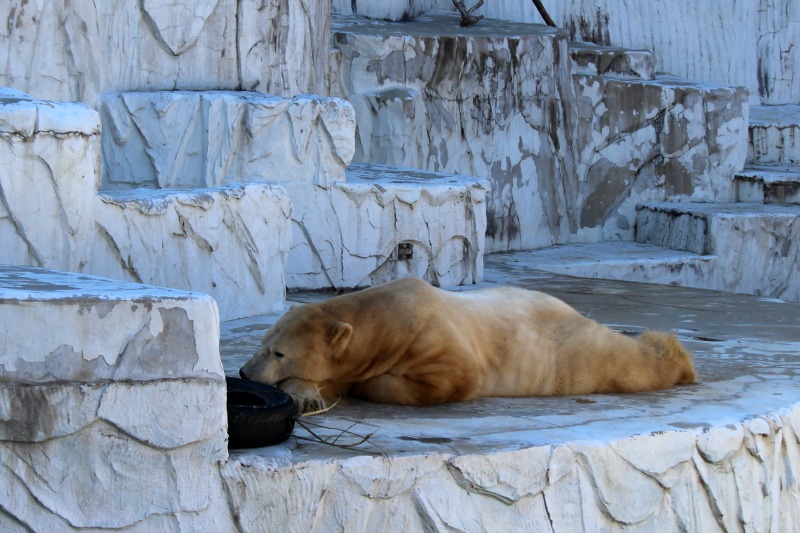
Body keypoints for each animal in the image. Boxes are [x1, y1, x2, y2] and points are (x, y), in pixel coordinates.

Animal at [238, 276, 692, 410]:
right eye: (263, 341)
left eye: (279, 352)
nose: (244, 371)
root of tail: (577, 314)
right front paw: (310, 392)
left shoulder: (429, 337)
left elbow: (455, 379)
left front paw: (365, 385)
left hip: (573, 355)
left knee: (623, 361)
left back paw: (675, 357)